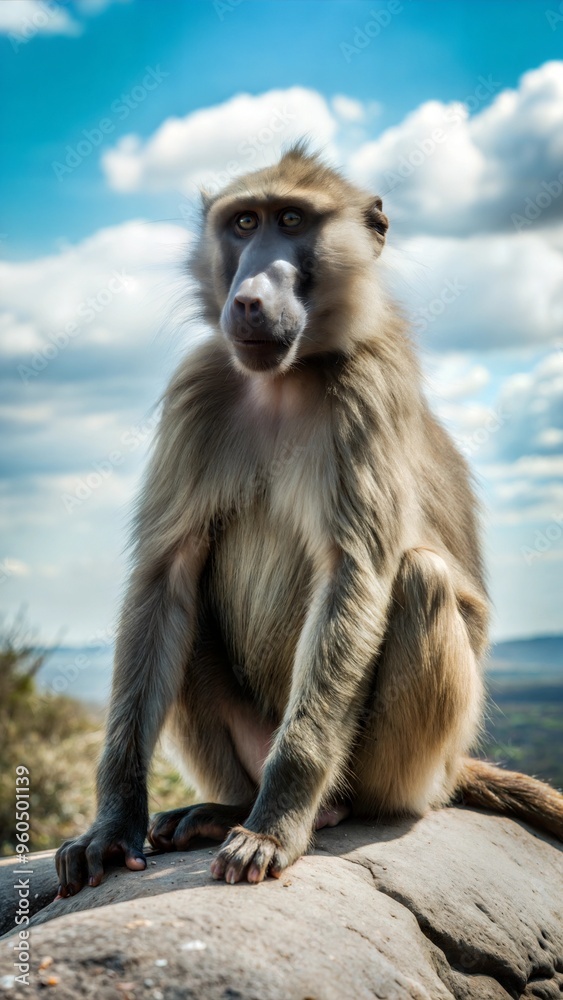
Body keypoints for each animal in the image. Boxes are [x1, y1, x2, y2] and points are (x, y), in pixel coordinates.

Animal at [55, 144, 563, 895]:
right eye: (244, 222)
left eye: (292, 220)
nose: (248, 299)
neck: (285, 377)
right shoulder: (198, 384)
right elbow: (167, 574)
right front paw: (112, 825)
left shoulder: (368, 388)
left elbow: (353, 575)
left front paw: (273, 827)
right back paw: (225, 808)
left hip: (414, 771)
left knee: (419, 578)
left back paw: (323, 809)